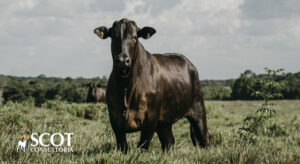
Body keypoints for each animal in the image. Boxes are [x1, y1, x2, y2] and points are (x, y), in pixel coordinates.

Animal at [94, 18, 209, 151]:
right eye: (114, 36)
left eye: (135, 37)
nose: (123, 60)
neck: (126, 87)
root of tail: (188, 63)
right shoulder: (115, 120)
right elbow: (123, 146)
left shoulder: (151, 119)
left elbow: (142, 146)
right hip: (164, 122)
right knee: (168, 141)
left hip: (198, 109)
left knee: (204, 137)